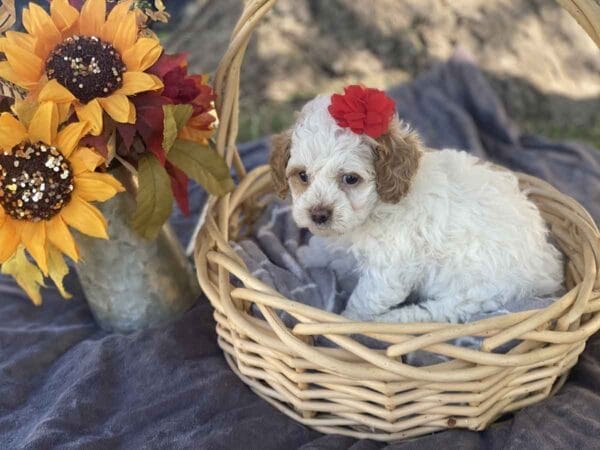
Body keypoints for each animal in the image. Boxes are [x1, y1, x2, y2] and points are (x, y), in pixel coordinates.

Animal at [270, 86, 564, 322]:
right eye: (302, 176)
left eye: (350, 179)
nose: (319, 215)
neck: (378, 206)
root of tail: (547, 265)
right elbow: (331, 249)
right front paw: (308, 254)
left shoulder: (389, 270)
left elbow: (364, 301)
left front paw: (348, 321)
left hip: (479, 291)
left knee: (442, 311)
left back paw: (393, 320)